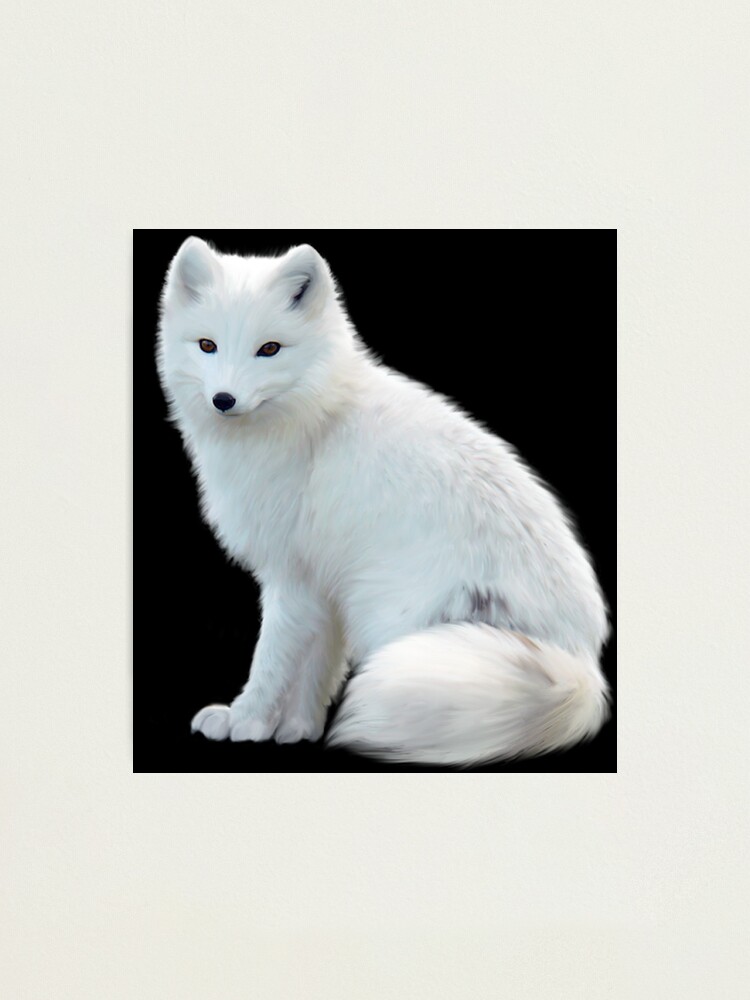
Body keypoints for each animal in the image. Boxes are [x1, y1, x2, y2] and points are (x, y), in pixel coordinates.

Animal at [156, 236, 611, 767]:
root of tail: (584, 664)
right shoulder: (323, 585)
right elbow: (316, 668)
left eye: (269, 349)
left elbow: (271, 661)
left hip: (397, 622)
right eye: (207, 345)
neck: (317, 418)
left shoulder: (292, 578)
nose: (223, 399)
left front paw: (246, 721)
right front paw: (298, 729)